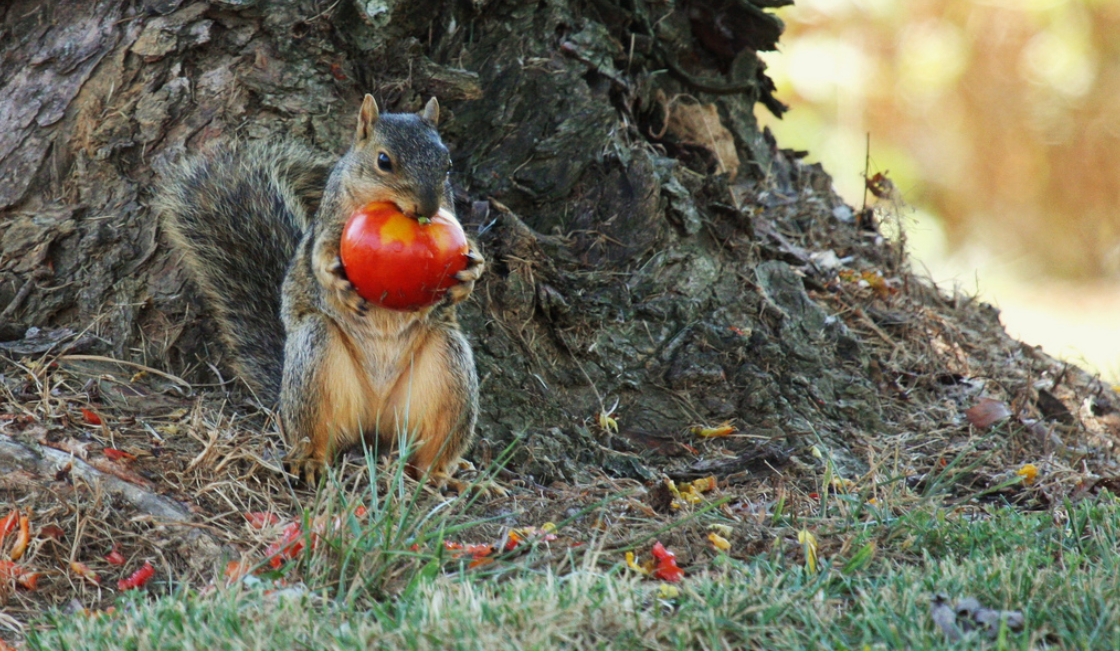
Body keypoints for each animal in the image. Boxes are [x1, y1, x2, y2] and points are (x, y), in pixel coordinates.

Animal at [156, 92, 486, 488]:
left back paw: (439, 475)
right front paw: (335, 280)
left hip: (449, 369)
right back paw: (309, 461)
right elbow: (320, 254)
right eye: (384, 161)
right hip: (315, 357)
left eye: (447, 164)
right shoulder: (329, 221)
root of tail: (374, 424)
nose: (428, 208)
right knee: (314, 433)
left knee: (429, 450)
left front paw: (472, 270)